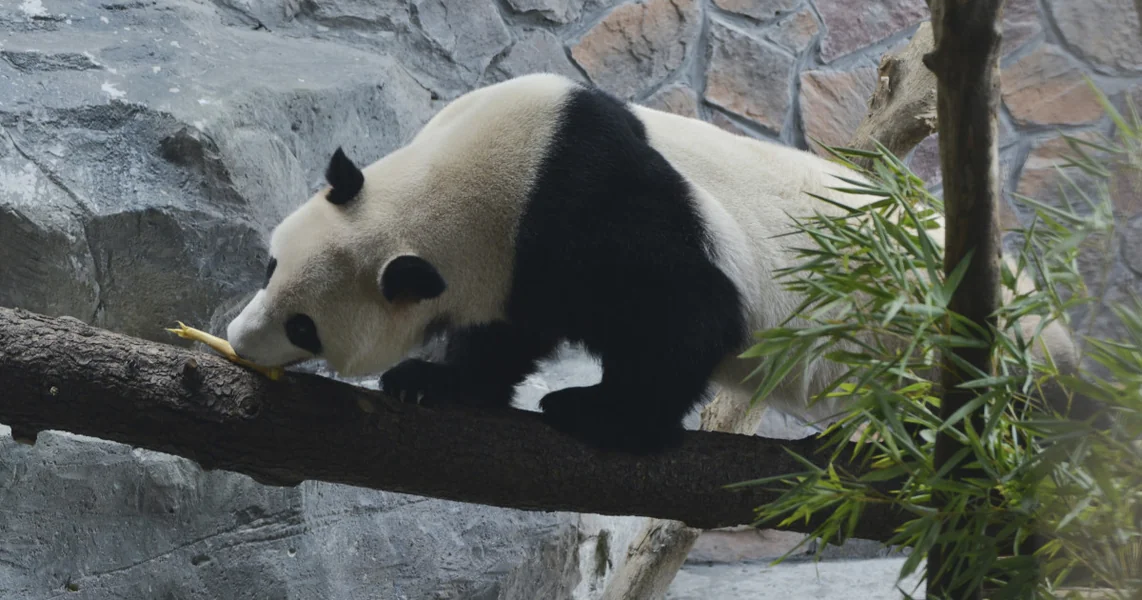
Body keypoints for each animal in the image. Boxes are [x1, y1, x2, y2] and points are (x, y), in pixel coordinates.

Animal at [225, 73, 1093, 453]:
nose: (238, 339)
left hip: (948, 341)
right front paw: (430, 383)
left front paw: (594, 412)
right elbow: (509, 335)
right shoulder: (516, 260)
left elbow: (683, 321)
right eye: (269, 267)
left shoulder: (590, 208)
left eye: (304, 326)